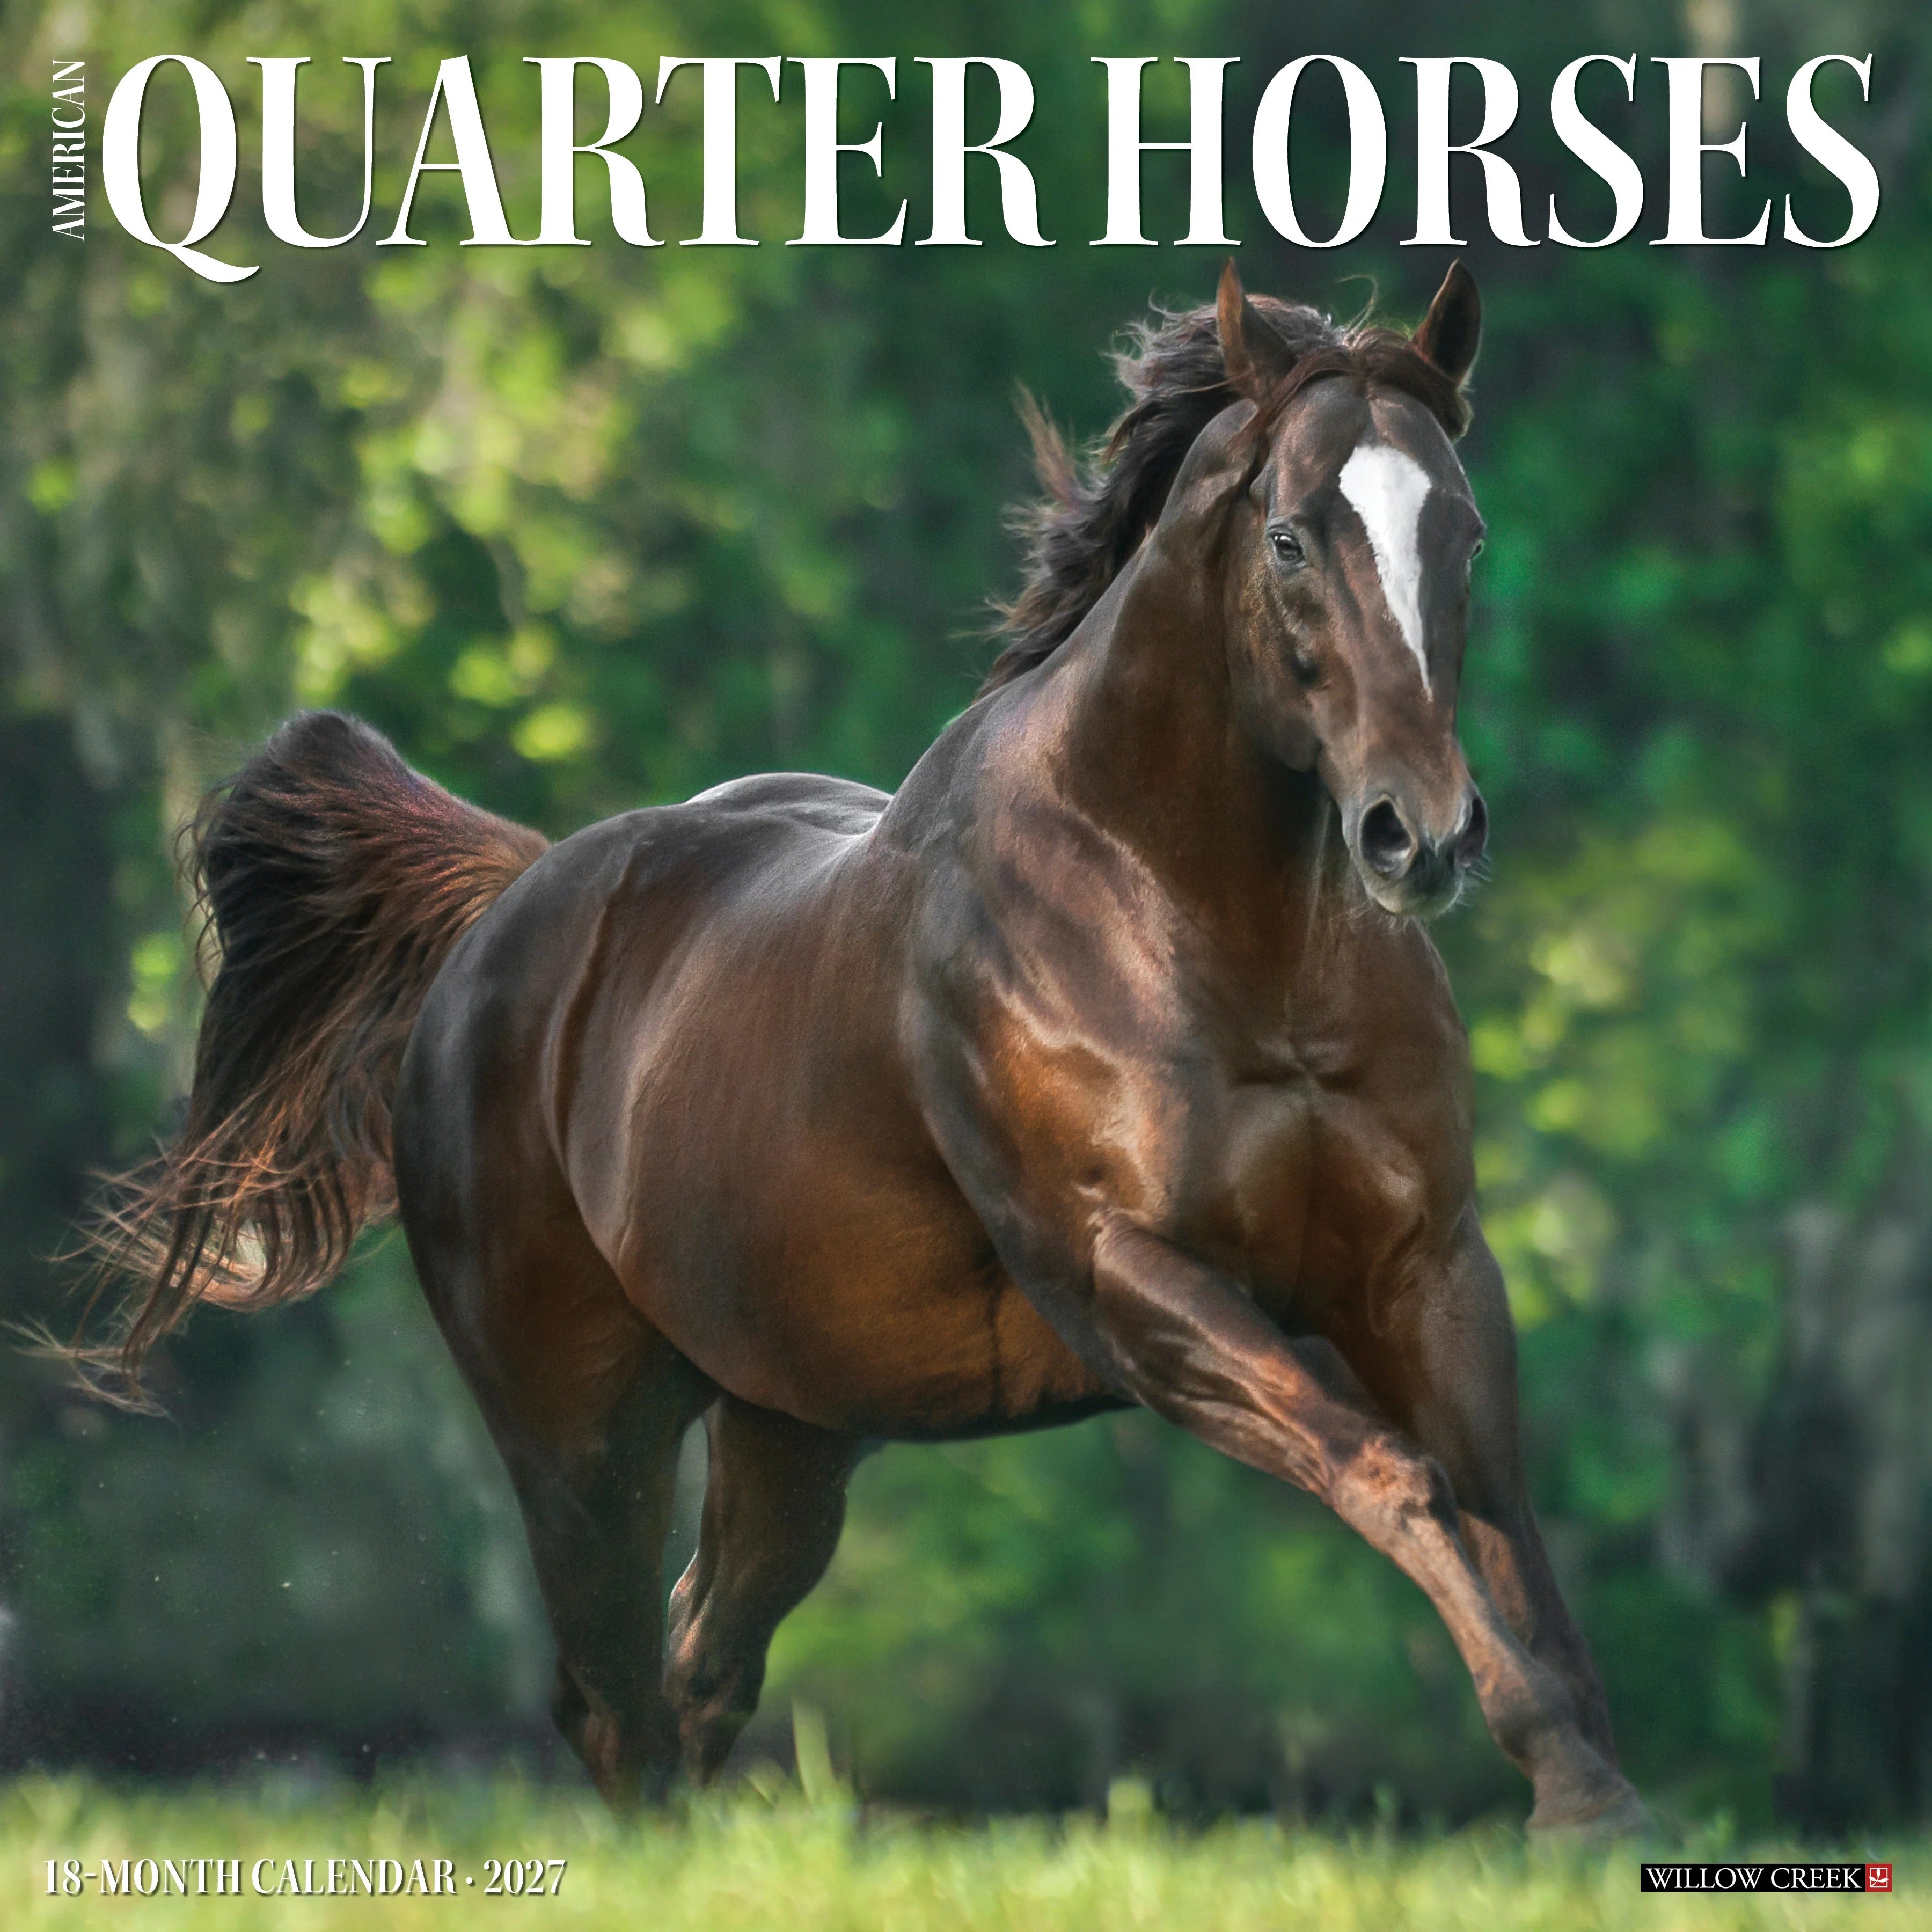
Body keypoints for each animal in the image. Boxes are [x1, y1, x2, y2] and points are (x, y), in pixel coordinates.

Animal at [85, 261, 1646, 1835]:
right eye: (1289, 536)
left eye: (1463, 530)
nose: (1420, 834)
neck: (1211, 931)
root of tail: (510, 904)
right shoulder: (1127, 1279)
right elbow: (1397, 1477)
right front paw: (1570, 1783)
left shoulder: (1424, 1268)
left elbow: (1501, 1517)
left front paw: (1595, 1782)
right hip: (581, 1427)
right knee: (612, 1698)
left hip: (789, 1421)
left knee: (699, 1666)